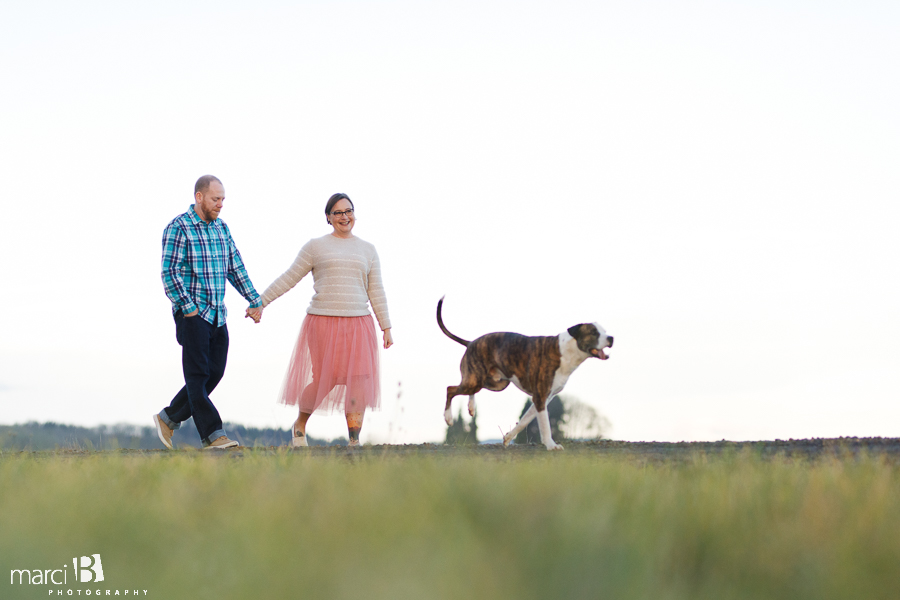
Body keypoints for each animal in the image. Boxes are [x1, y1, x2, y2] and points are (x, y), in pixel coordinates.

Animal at [436, 296, 612, 450]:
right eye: (594, 332)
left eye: (604, 331)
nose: (611, 338)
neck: (567, 351)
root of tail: (471, 343)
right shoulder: (540, 397)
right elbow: (545, 426)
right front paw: (551, 445)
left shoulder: (543, 399)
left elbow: (524, 421)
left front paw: (508, 438)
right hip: (478, 380)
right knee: (450, 389)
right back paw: (448, 417)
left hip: (495, 383)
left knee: (470, 389)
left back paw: (471, 407)